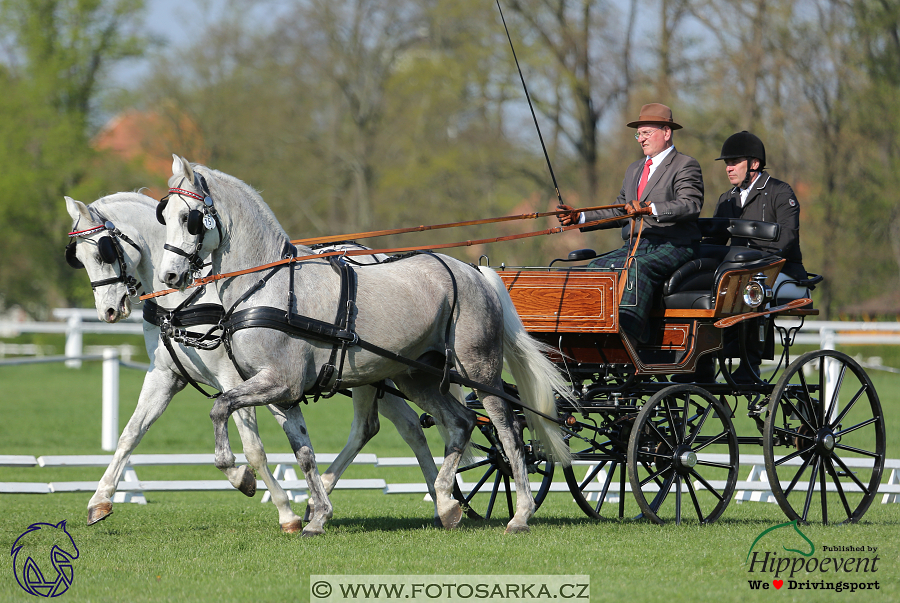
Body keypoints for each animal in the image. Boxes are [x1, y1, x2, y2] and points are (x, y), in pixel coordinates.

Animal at [65, 193, 442, 532]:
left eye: (102, 252)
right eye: (78, 257)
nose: (107, 311)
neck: (187, 299)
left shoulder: (233, 379)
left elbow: (253, 449)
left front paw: (276, 504)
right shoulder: (165, 375)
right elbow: (130, 434)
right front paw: (100, 501)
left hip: (365, 373)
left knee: (383, 425)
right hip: (371, 374)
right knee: (402, 426)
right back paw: (434, 496)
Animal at [158, 158, 572, 536]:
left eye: (188, 218)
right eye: (166, 215)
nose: (169, 276)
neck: (267, 284)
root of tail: (475, 272)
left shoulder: (280, 383)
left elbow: (219, 409)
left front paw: (239, 476)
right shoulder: (283, 394)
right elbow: (304, 453)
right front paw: (317, 515)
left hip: (479, 370)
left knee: (507, 431)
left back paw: (520, 514)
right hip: (416, 376)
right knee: (460, 422)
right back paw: (445, 502)